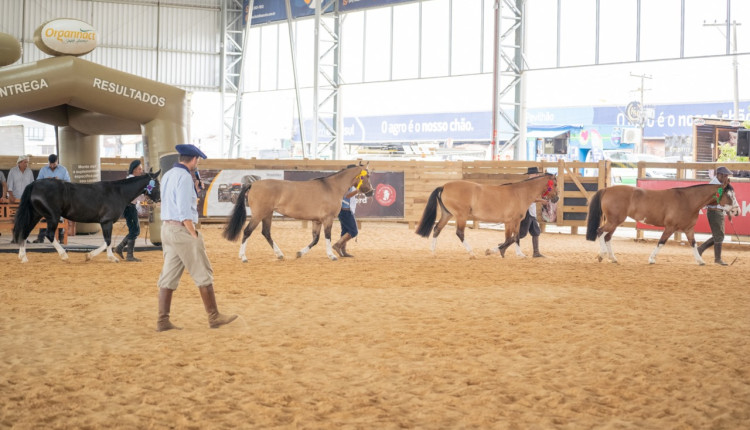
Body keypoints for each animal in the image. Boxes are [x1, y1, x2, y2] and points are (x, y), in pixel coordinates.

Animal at [12, 170, 162, 264]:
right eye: (158, 185)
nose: (159, 199)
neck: (118, 192)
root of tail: (34, 184)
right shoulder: (106, 222)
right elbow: (108, 241)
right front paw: (104, 257)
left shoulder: (106, 222)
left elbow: (107, 241)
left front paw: (97, 256)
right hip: (52, 217)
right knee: (49, 234)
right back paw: (64, 256)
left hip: (36, 215)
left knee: (25, 232)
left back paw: (23, 257)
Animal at [223, 162, 376, 260]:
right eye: (367, 176)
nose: (371, 192)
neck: (332, 187)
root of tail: (253, 184)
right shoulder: (328, 219)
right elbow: (327, 236)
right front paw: (331, 255)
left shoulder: (317, 221)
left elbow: (315, 239)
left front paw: (300, 253)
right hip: (258, 214)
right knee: (247, 231)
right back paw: (243, 256)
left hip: (267, 214)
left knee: (266, 232)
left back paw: (279, 254)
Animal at [414, 172, 560, 258]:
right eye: (555, 184)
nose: (556, 199)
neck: (520, 193)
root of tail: (443, 186)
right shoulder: (509, 221)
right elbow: (510, 239)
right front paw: (494, 251)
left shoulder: (516, 222)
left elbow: (516, 237)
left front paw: (519, 254)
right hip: (461, 216)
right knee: (459, 233)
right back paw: (472, 253)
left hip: (447, 214)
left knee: (437, 228)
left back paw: (433, 252)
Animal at [588, 182, 740, 264]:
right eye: (729, 195)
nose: (736, 211)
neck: (687, 200)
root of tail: (607, 189)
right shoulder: (670, 227)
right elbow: (661, 242)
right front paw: (651, 259)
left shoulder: (689, 229)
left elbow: (693, 243)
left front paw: (700, 261)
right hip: (614, 221)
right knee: (600, 232)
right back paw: (602, 254)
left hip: (615, 221)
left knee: (607, 237)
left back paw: (612, 258)